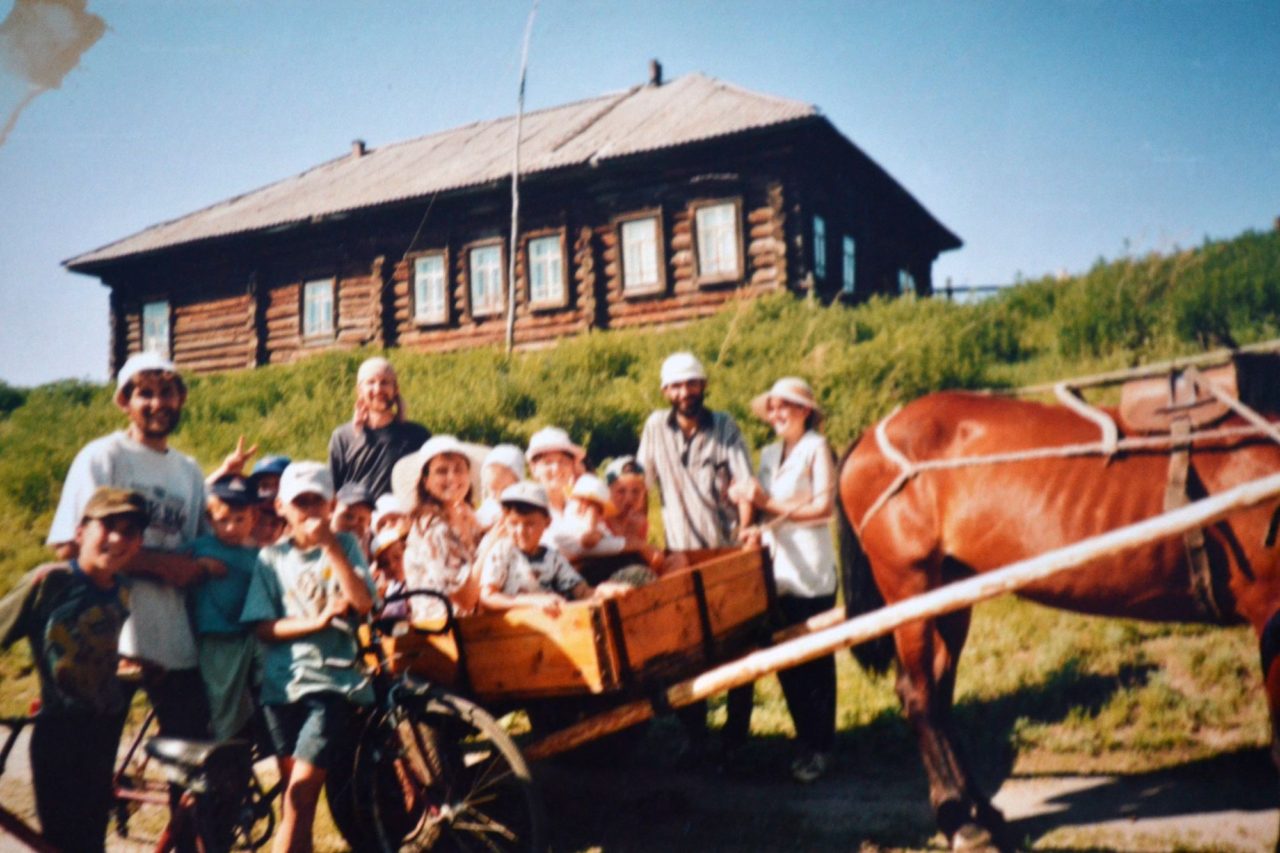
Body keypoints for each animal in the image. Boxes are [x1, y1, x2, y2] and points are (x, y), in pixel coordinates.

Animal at [834, 389, 1280, 845]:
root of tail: (870, 435)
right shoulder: (1270, 611)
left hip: (949, 590)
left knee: (940, 693)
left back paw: (981, 811)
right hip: (910, 585)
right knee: (919, 695)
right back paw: (960, 820)